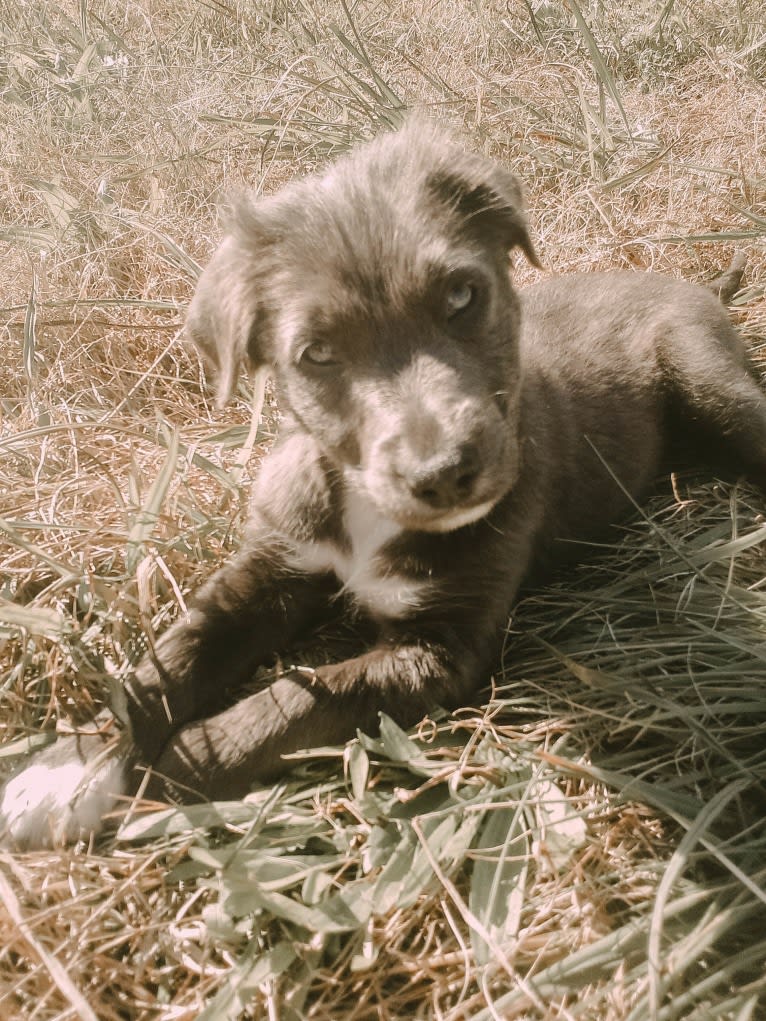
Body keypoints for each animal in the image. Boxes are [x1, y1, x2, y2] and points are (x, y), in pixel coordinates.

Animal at [4, 123, 766, 849]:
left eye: (461, 296)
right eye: (316, 353)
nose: (445, 473)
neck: (361, 506)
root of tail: (693, 285)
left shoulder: (439, 649)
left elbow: (294, 699)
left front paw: (158, 779)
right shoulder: (273, 565)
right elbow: (171, 655)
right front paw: (71, 769)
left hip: (708, 379)